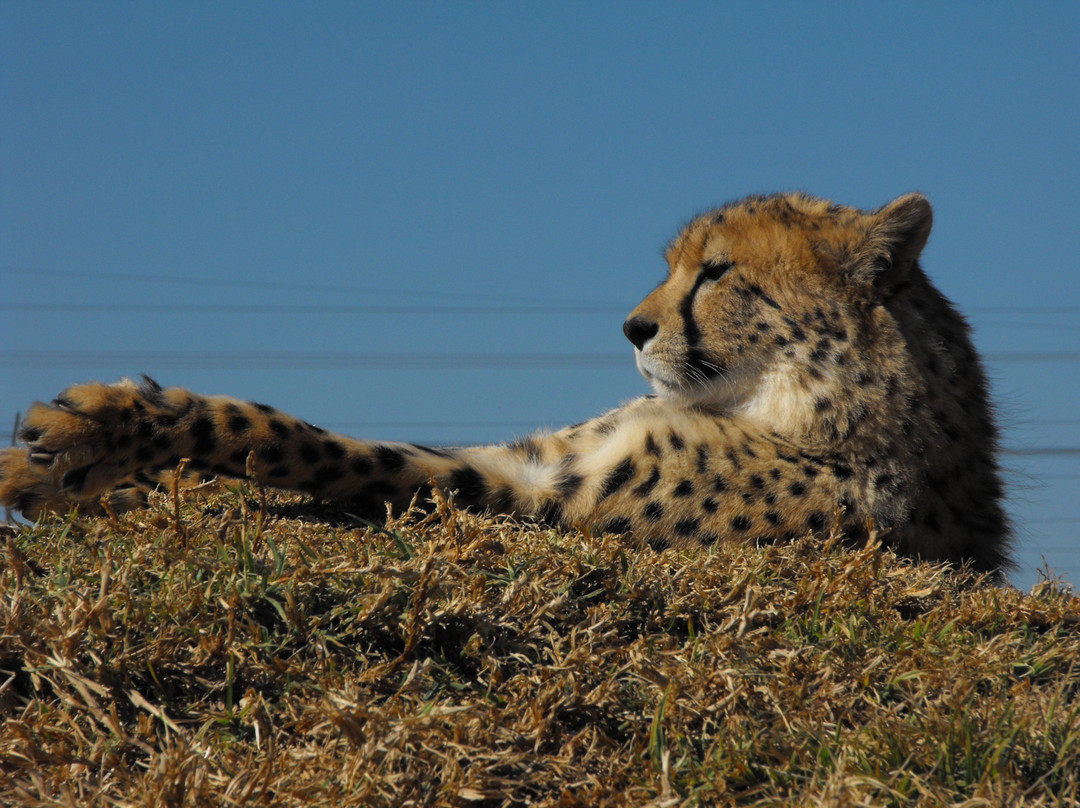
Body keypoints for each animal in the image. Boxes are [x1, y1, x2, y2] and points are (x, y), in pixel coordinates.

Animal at [0, 192, 1011, 575]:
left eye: (717, 273)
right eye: (675, 267)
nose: (633, 328)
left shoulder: (543, 496)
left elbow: (294, 437)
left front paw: (84, 438)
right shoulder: (531, 460)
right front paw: (89, 468)